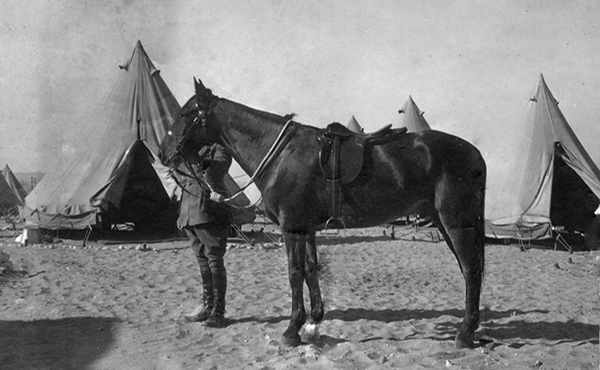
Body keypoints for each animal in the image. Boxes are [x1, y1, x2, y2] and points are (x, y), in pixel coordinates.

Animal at [159, 78, 488, 350]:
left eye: (186, 114)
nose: (163, 153)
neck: (280, 155)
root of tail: (475, 154)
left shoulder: (291, 229)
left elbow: (294, 274)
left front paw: (292, 330)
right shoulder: (307, 229)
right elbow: (311, 270)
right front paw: (314, 319)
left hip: (456, 224)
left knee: (471, 270)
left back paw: (464, 333)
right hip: (445, 223)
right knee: (470, 270)